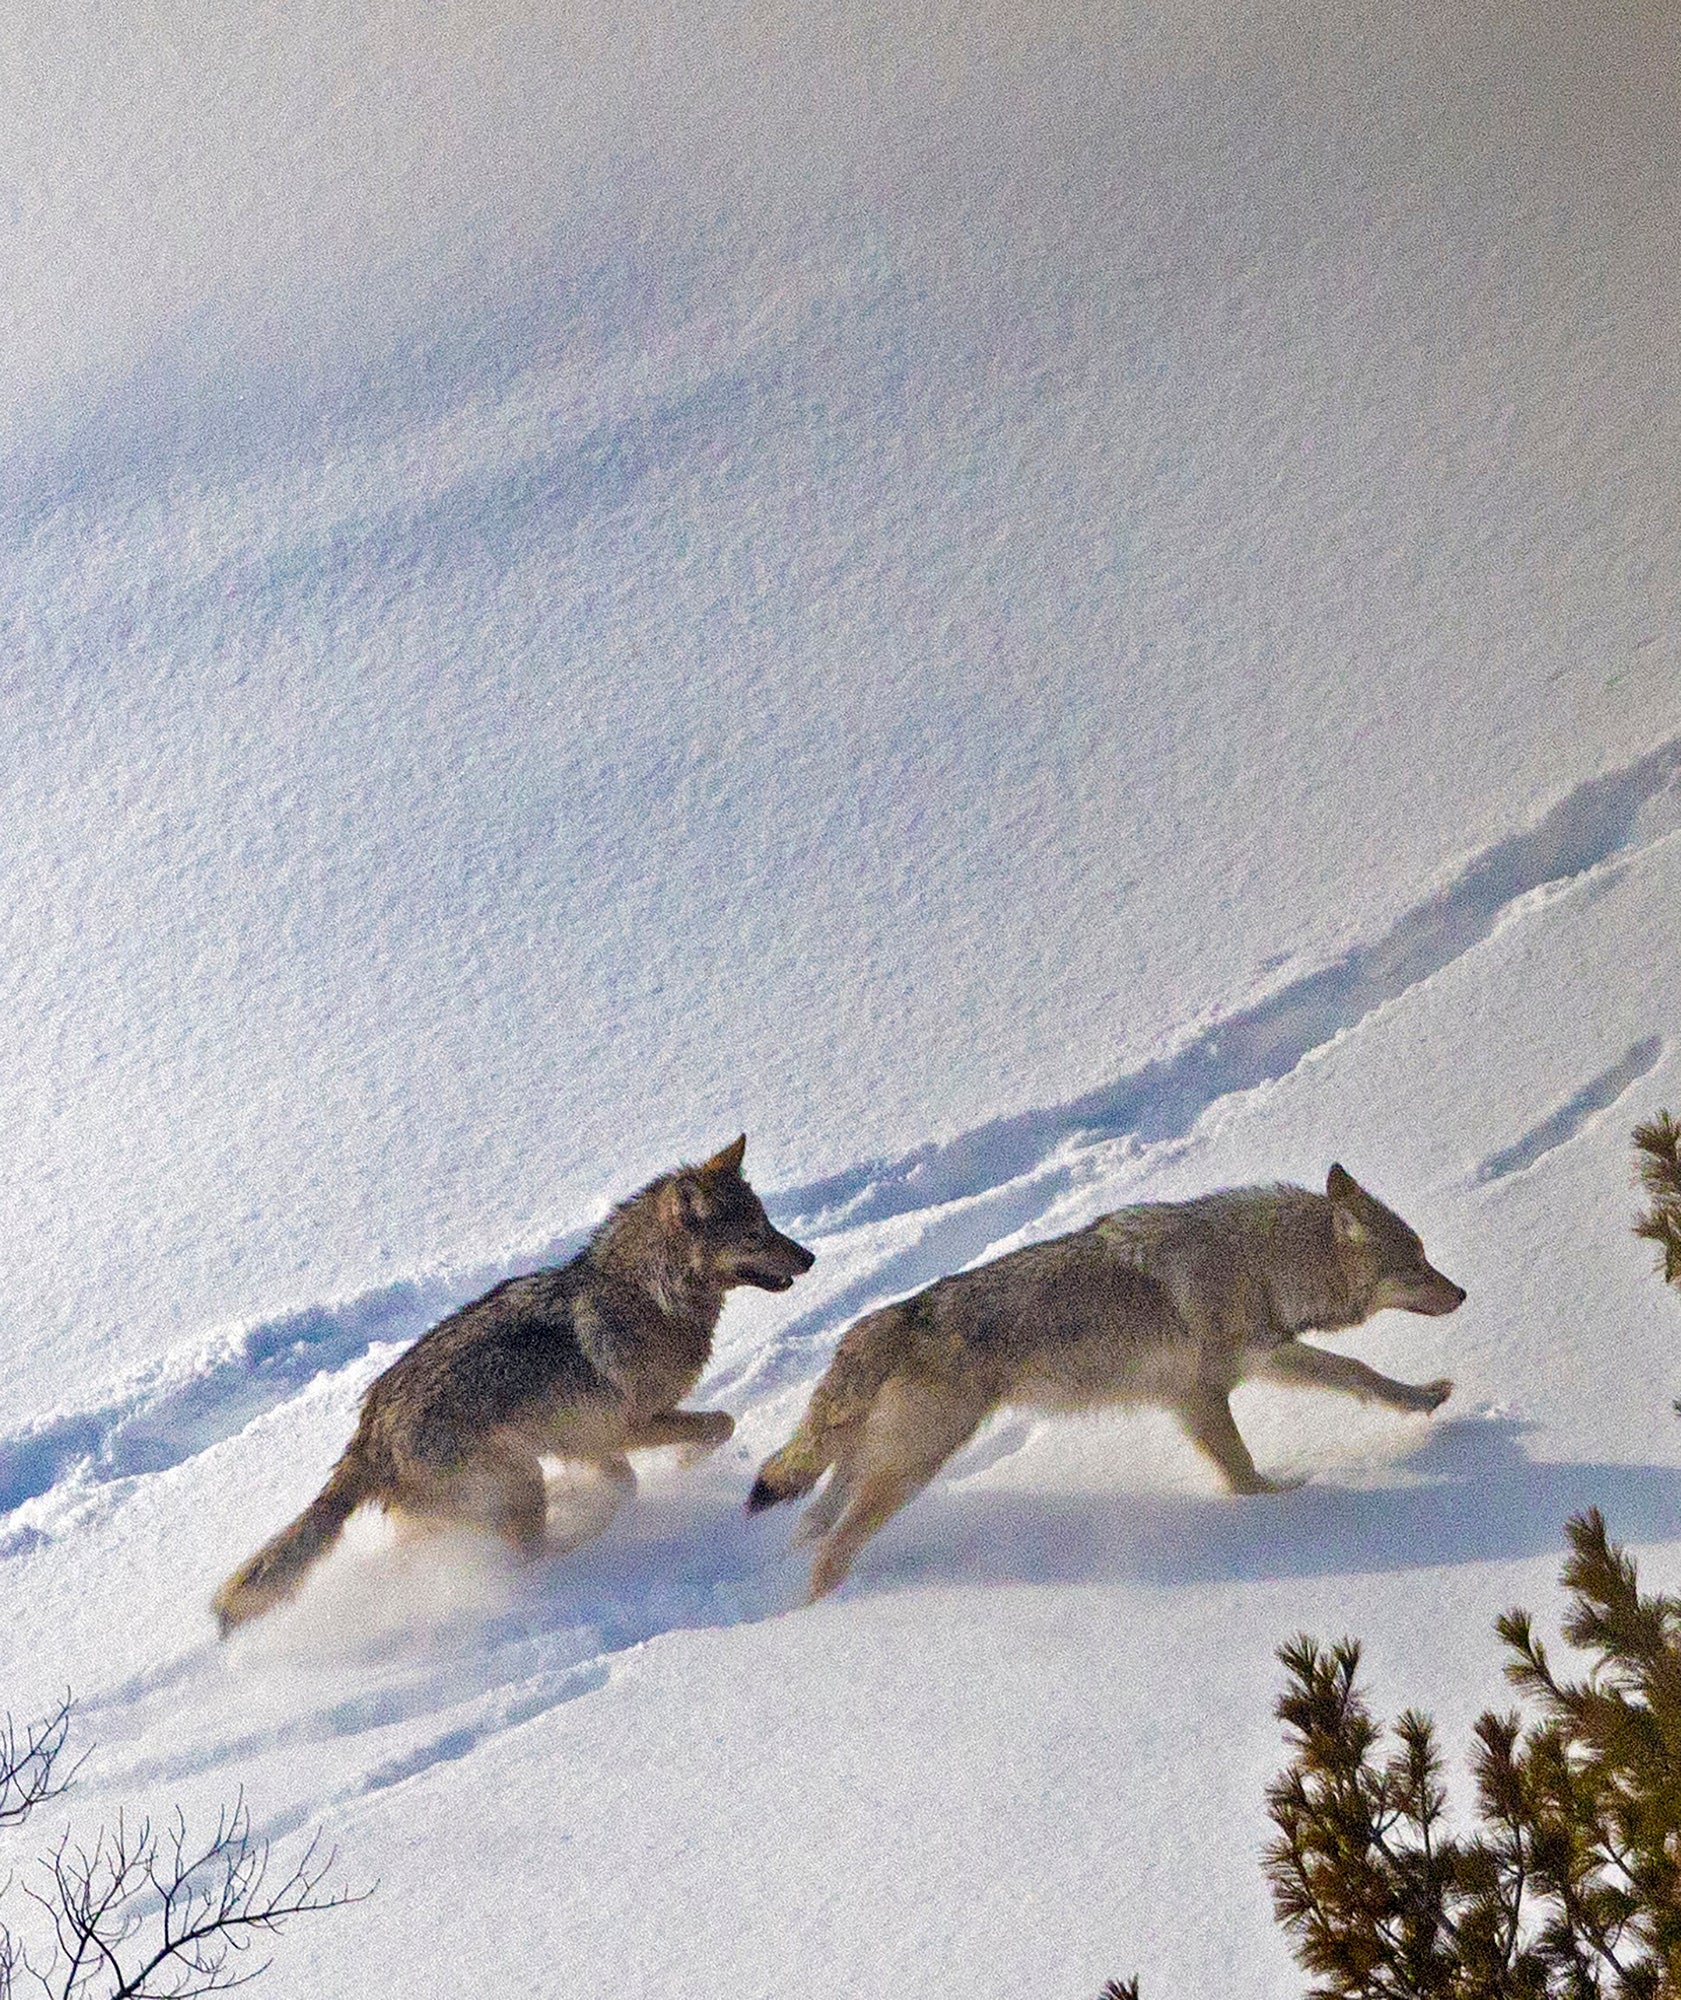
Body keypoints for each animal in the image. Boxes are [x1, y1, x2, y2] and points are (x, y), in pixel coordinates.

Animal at [213, 1135, 814, 1634]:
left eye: (769, 1223)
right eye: (756, 1234)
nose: (809, 1257)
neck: (649, 1295)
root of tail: (368, 1436)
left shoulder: (590, 1440)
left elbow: (639, 1473)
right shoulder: (625, 1427)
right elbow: (717, 1425)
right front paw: (677, 1467)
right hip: (520, 1480)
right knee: (524, 1553)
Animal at [749, 1165, 1463, 1600]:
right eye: (1416, 1264)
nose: (1462, 1293)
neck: (1258, 1264)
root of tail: (875, 1327)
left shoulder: (1260, 1362)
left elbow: (1356, 1373)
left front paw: (1424, 1398)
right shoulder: (1202, 1398)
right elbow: (1250, 1467)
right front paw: (1280, 1504)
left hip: (871, 1465)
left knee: (808, 1527)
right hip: (911, 1469)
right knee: (830, 1552)